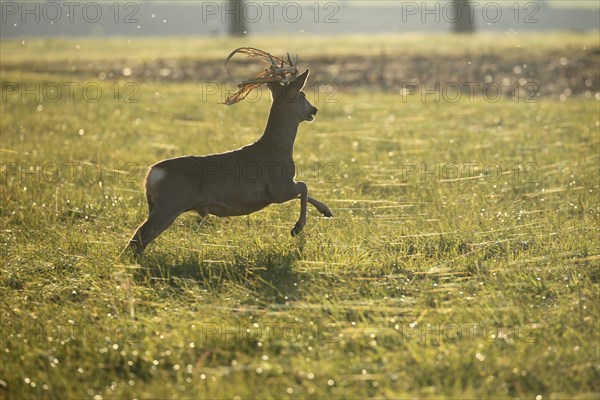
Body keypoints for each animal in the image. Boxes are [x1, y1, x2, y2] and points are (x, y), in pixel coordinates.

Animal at [126, 48, 332, 258]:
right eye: (302, 94)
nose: (314, 109)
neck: (277, 148)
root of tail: (151, 173)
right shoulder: (279, 188)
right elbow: (304, 186)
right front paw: (297, 228)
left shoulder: (280, 189)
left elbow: (304, 190)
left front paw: (326, 211)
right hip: (170, 204)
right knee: (138, 237)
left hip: (160, 206)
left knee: (141, 239)